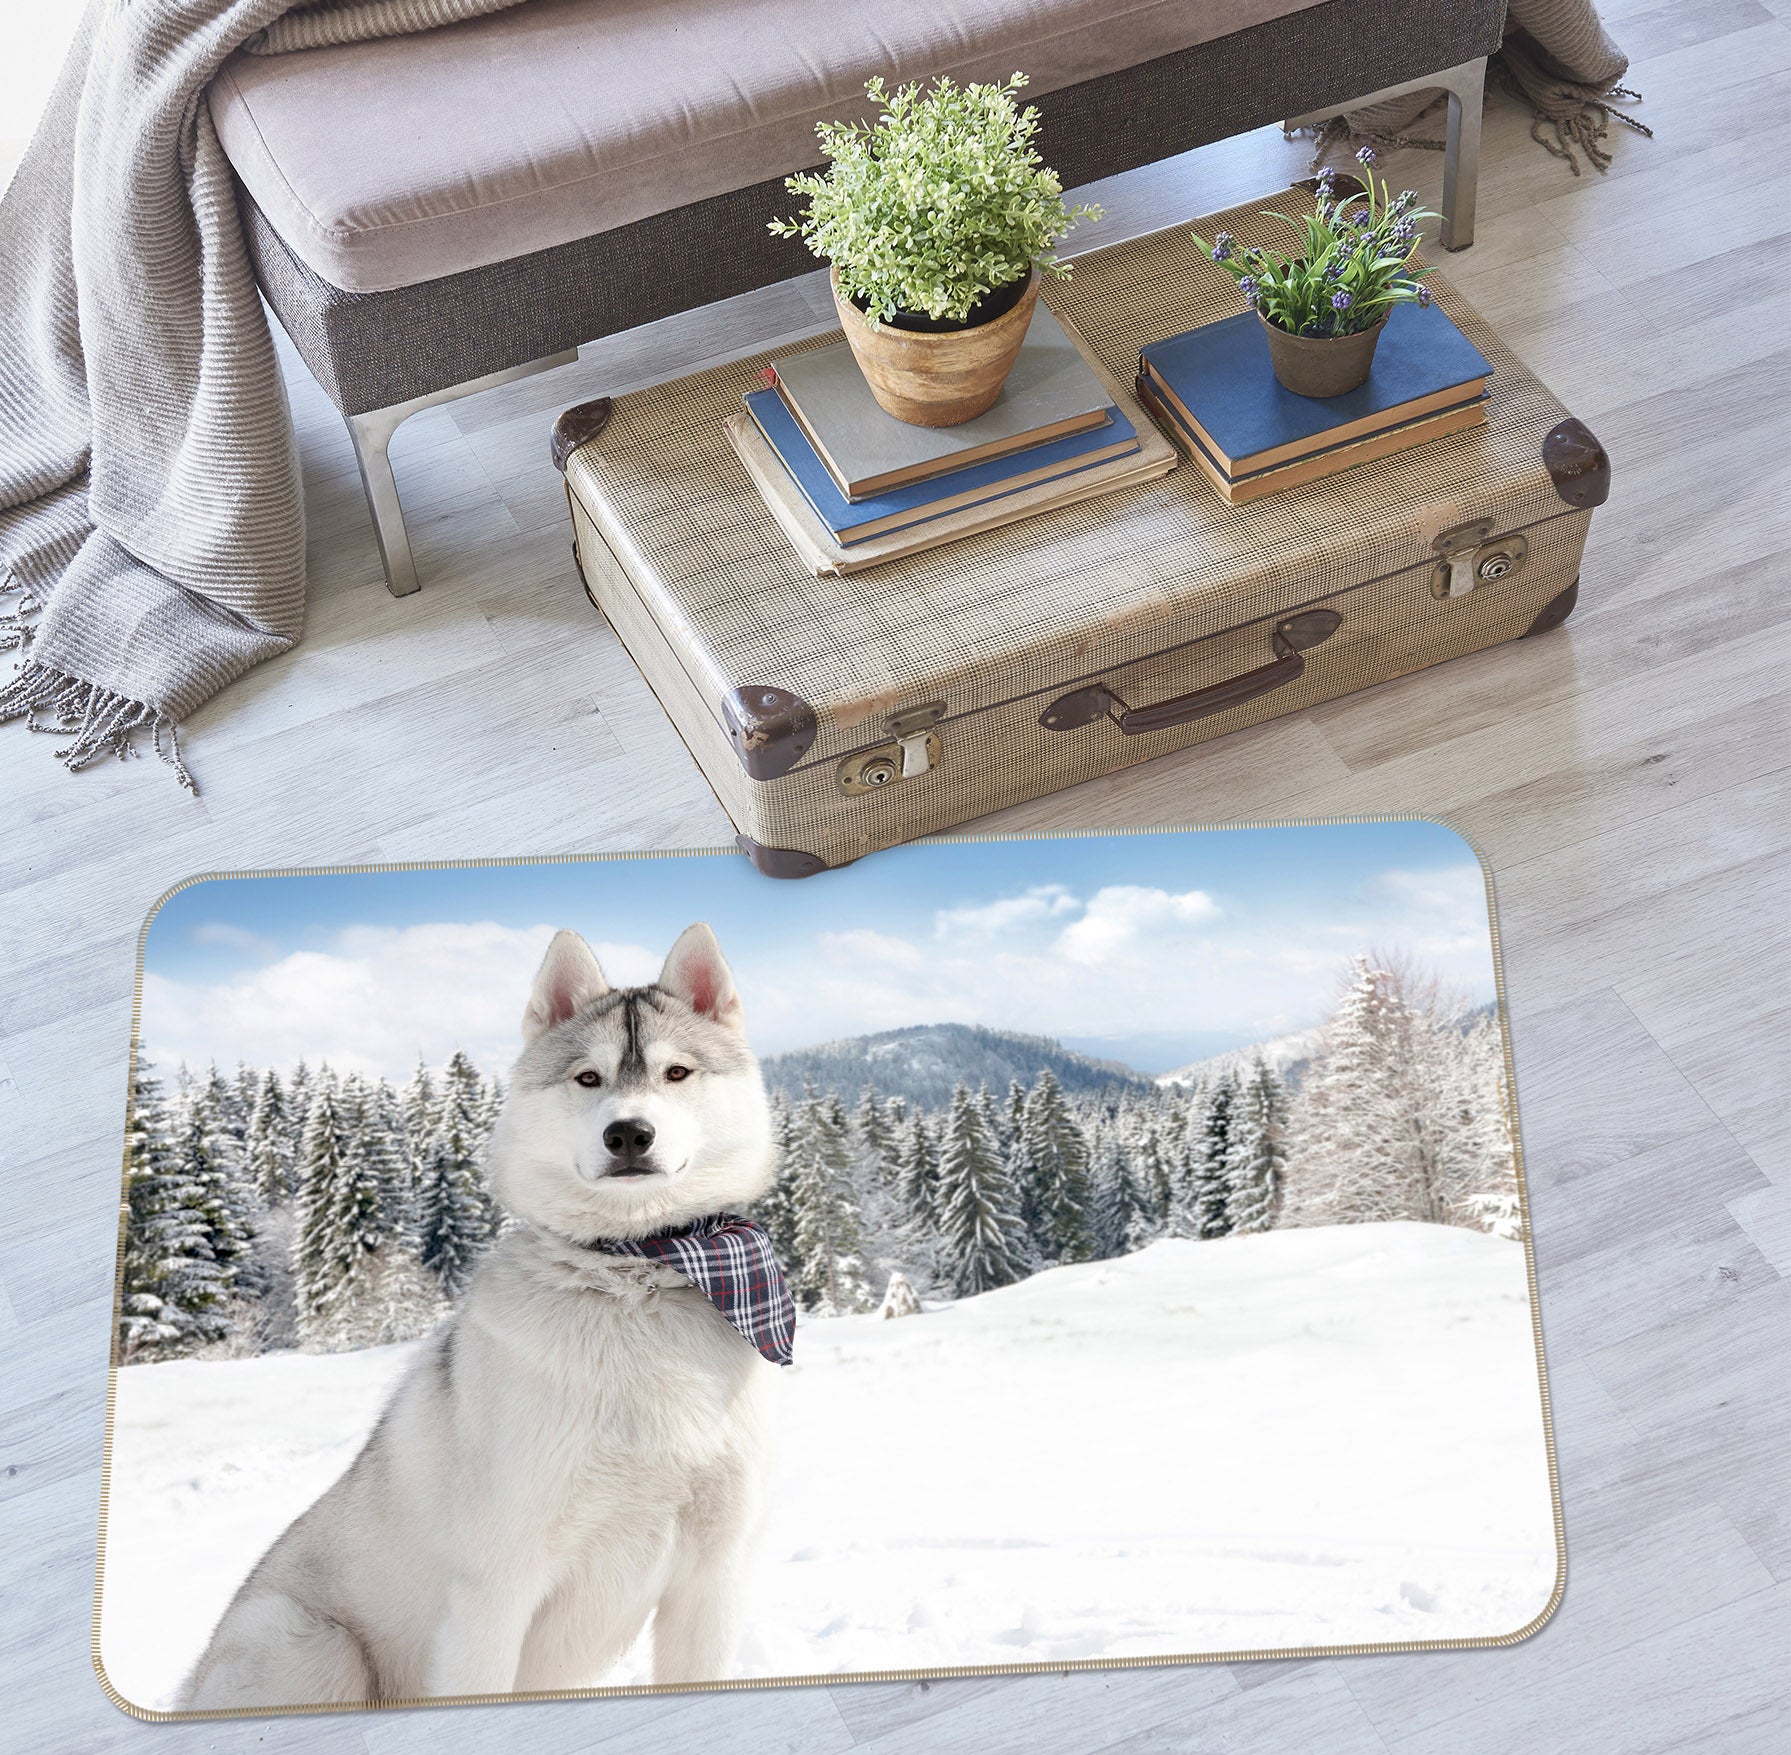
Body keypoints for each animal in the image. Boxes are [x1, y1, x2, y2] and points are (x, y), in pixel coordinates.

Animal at [181, 924, 780, 1709]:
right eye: (587, 1079)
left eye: (677, 1072)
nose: (628, 1134)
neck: (635, 1275)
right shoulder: (496, 1589)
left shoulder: (710, 1580)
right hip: (309, 1643)